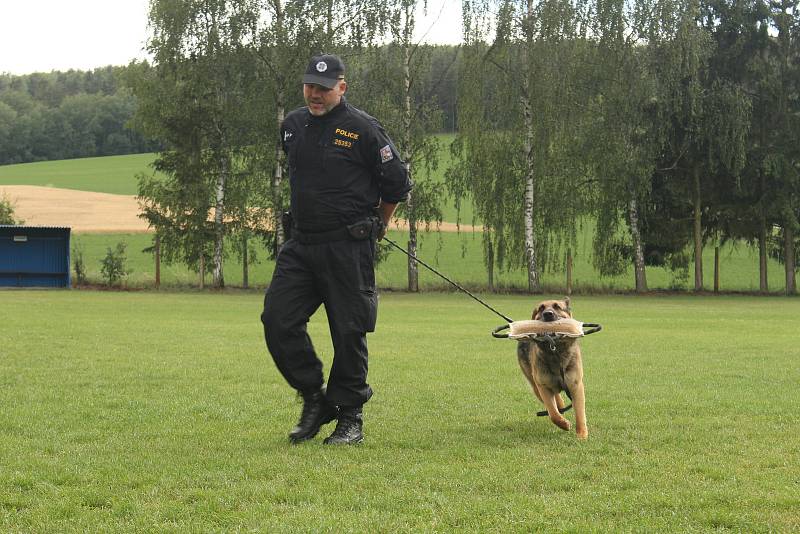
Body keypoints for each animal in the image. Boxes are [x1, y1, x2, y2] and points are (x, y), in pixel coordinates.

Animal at [516, 298, 584, 440]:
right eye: (541, 308)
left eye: (557, 306)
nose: (548, 314)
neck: (555, 350)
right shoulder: (544, 387)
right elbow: (553, 413)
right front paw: (564, 424)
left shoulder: (576, 386)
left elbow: (580, 413)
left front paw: (582, 435)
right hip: (535, 386)